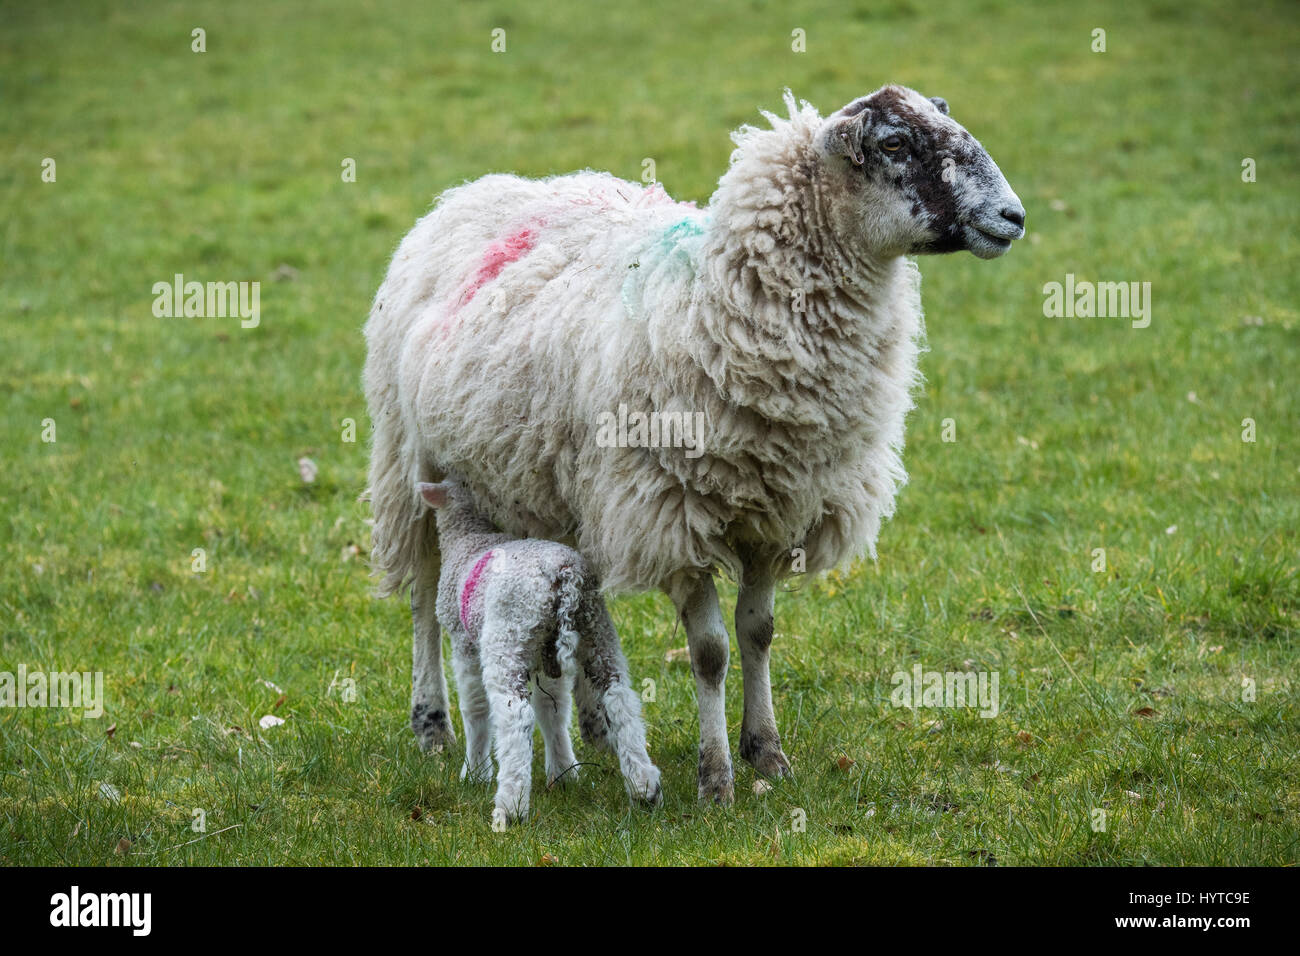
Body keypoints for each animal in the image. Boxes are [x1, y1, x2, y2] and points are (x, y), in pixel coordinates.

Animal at [416, 473, 660, 822]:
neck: (469, 537)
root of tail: (567, 574)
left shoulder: (464, 643)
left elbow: (475, 709)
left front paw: (474, 773)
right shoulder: (546, 656)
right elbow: (553, 709)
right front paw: (564, 772)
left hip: (506, 634)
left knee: (514, 714)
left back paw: (511, 804)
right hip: (595, 629)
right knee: (619, 699)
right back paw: (644, 789)